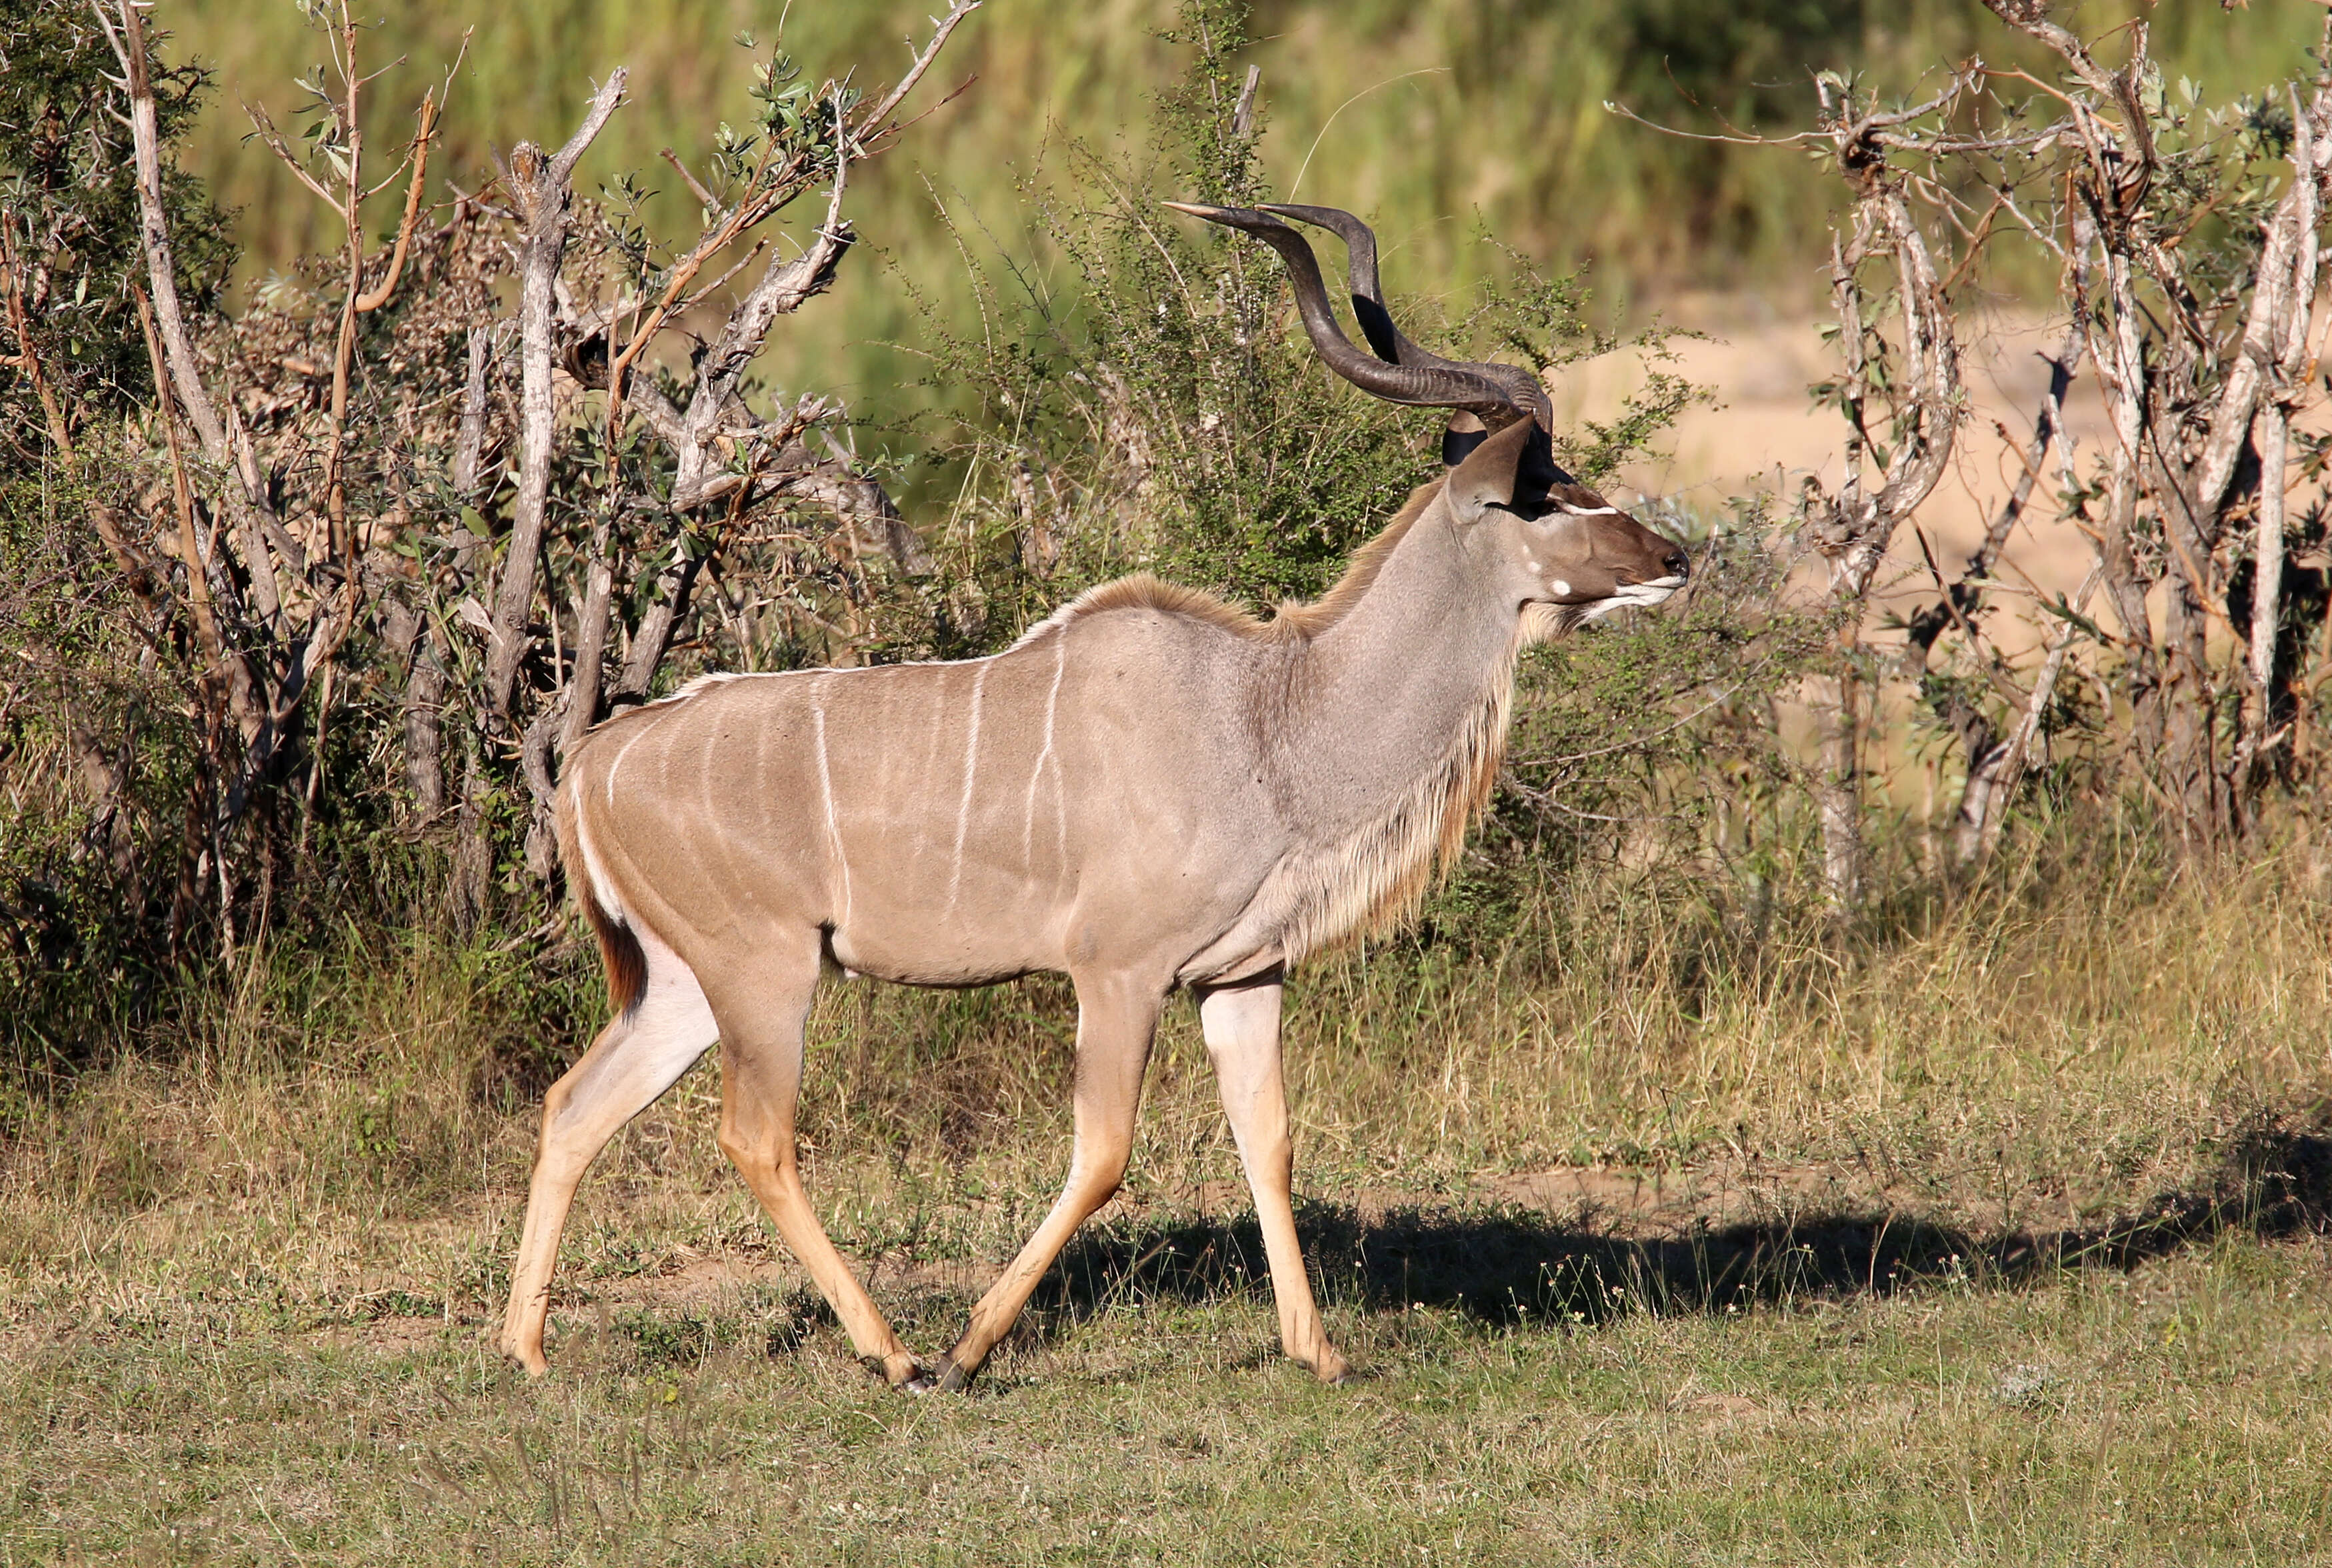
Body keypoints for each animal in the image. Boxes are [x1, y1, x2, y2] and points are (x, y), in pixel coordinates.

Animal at [501, 199, 1688, 1381]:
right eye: (1544, 496)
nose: (1675, 556)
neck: (1269, 722)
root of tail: (592, 765)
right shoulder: (1116, 972)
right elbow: (1106, 1152)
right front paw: (971, 1348)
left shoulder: (1241, 977)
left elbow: (1269, 1140)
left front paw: (1316, 1353)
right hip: (767, 972)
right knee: (755, 1140)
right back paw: (895, 1353)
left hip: (684, 985)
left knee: (572, 1106)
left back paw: (527, 1349)